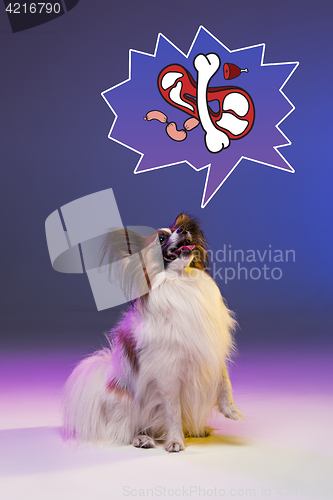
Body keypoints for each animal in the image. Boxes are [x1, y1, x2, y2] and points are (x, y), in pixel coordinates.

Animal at [63, 213, 243, 452]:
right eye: (161, 239)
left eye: (180, 229)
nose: (184, 230)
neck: (181, 281)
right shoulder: (168, 374)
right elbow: (173, 411)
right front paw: (175, 441)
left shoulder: (211, 347)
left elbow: (224, 380)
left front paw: (230, 409)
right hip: (125, 403)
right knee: (124, 431)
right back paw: (142, 438)